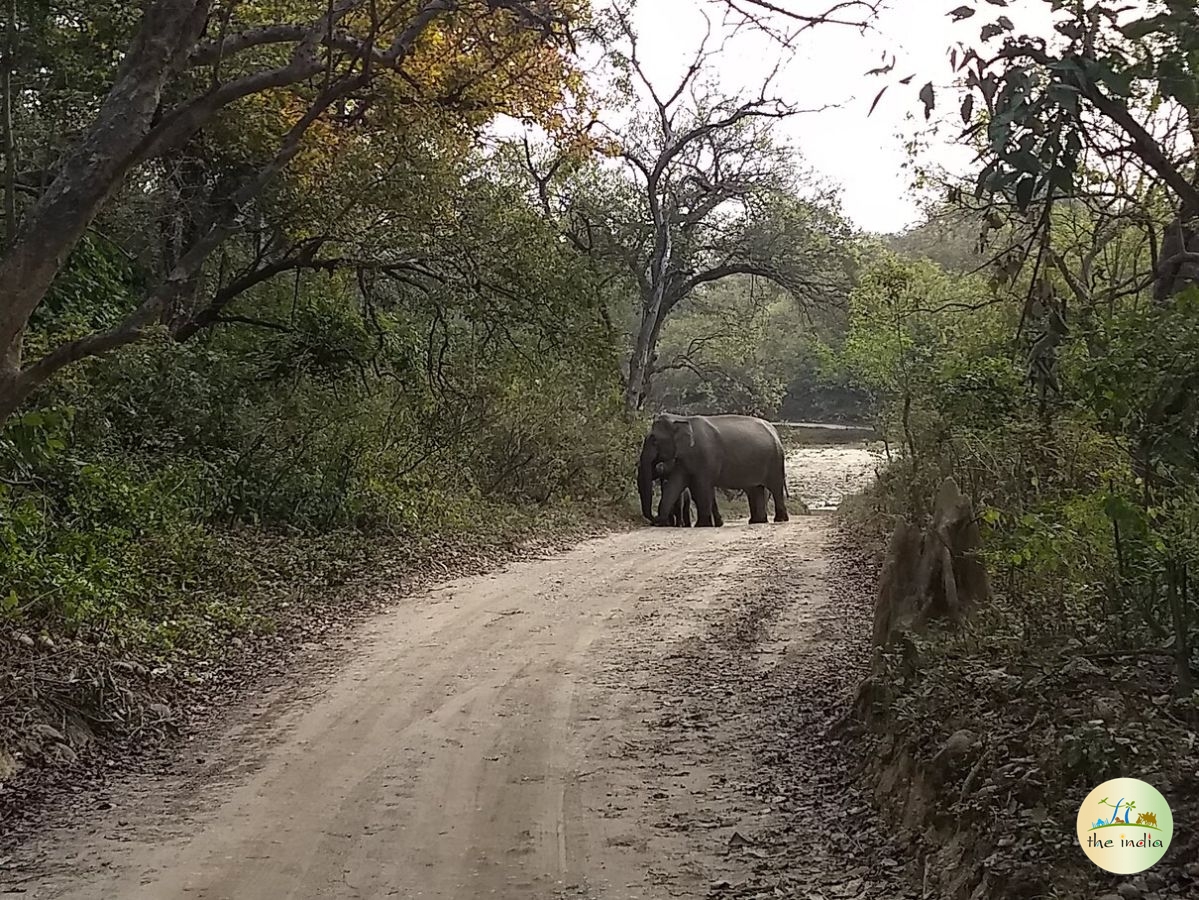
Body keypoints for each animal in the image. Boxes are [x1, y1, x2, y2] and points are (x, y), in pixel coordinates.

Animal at [633, 412, 791, 524]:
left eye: (654, 440)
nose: (654, 519)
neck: (682, 419)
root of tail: (775, 431)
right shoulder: (683, 460)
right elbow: (675, 484)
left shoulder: (706, 457)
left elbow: (702, 487)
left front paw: (702, 525)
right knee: (755, 489)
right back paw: (757, 521)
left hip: (776, 460)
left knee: (775, 487)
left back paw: (780, 519)